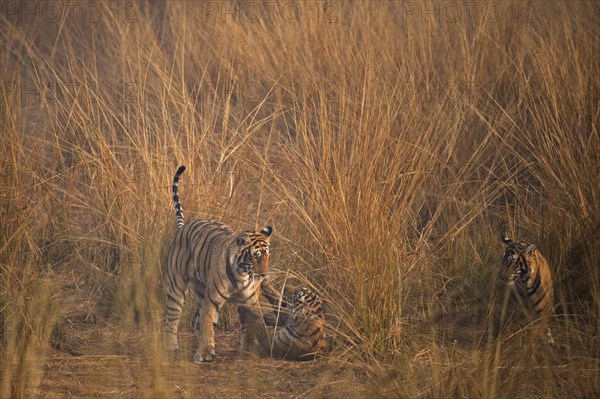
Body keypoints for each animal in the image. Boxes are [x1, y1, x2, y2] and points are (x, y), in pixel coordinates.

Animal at [162, 166, 278, 362]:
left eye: (267, 257)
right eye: (256, 257)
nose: (264, 275)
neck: (242, 274)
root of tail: (183, 226)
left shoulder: (251, 302)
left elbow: (259, 326)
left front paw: (263, 348)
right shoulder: (212, 299)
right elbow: (207, 323)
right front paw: (205, 352)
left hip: (201, 289)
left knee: (196, 320)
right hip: (177, 286)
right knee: (173, 316)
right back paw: (171, 347)